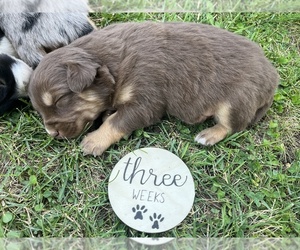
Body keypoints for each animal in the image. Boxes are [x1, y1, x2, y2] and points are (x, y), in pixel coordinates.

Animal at [28, 23, 278, 156]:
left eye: (60, 100)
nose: (51, 133)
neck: (112, 64)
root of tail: (272, 76)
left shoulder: (146, 100)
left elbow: (117, 121)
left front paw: (94, 141)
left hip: (236, 100)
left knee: (232, 125)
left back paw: (208, 135)